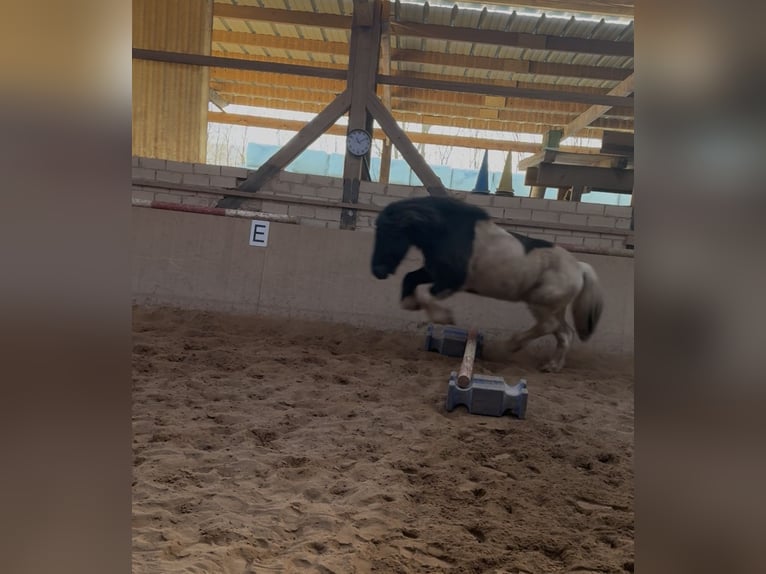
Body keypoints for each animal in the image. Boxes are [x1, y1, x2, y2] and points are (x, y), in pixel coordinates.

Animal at [370, 195, 604, 372]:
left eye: (390, 232)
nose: (377, 271)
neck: (447, 230)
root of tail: (579, 268)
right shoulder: (434, 272)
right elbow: (410, 278)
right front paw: (411, 303)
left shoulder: (452, 280)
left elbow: (427, 294)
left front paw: (443, 317)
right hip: (555, 308)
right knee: (564, 333)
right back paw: (552, 366)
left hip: (541, 304)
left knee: (549, 327)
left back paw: (505, 348)